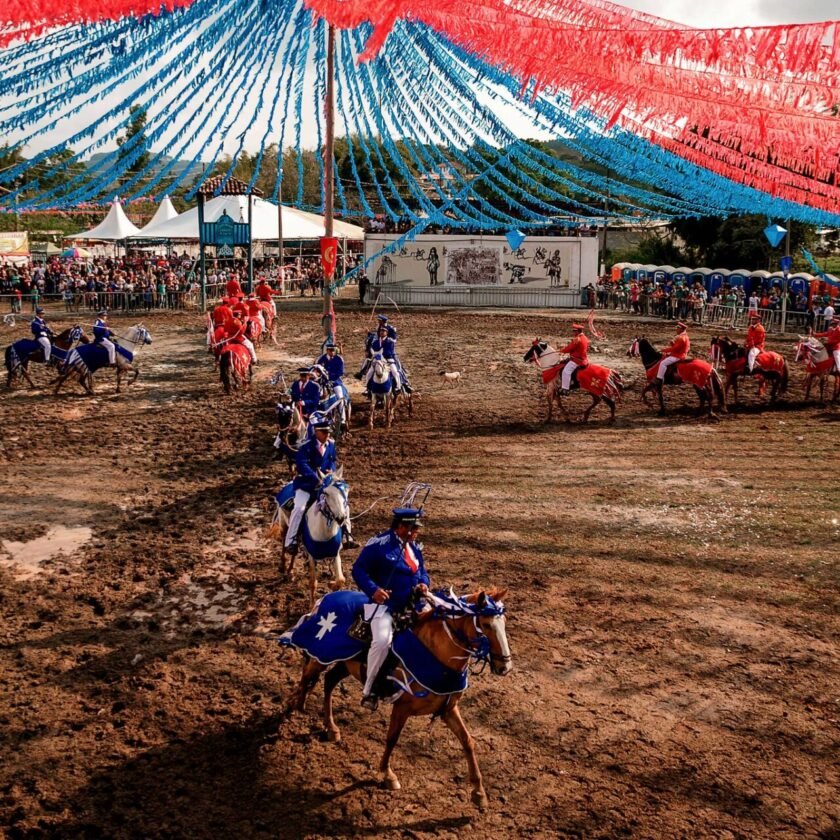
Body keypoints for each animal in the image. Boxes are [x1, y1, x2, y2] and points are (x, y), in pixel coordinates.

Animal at [270, 472, 348, 604]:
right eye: (326, 493)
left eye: (346, 490)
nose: (341, 518)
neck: (324, 531)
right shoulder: (312, 556)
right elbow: (312, 583)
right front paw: (311, 606)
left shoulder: (335, 553)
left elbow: (341, 579)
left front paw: (331, 584)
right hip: (284, 526)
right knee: (284, 544)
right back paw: (283, 566)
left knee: (294, 550)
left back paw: (290, 571)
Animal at [280, 584, 512, 808]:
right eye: (486, 625)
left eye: (503, 623)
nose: (505, 667)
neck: (436, 653)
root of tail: (327, 597)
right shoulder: (402, 707)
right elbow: (392, 738)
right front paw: (387, 774)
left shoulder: (448, 709)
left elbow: (467, 741)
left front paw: (479, 792)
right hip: (321, 656)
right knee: (307, 676)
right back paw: (293, 707)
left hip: (346, 664)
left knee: (328, 681)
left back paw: (330, 727)